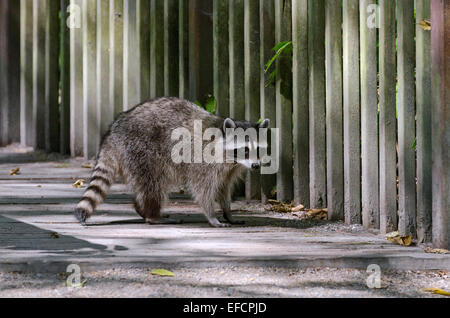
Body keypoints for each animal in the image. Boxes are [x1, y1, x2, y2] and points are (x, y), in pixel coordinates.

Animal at [75, 96, 268, 226]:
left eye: (258, 149)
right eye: (245, 149)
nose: (256, 166)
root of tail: (113, 131)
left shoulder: (229, 169)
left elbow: (223, 188)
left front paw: (228, 212)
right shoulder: (203, 160)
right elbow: (202, 189)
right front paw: (211, 215)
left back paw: (142, 210)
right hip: (141, 151)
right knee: (154, 184)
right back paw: (152, 215)